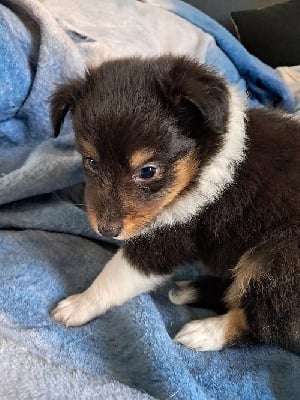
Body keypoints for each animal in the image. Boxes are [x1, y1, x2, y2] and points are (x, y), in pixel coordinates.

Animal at [50, 55, 298, 350]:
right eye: (90, 162)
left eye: (148, 171)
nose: (107, 231)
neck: (205, 160)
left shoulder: (172, 235)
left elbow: (115, 276)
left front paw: (78, 305)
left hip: (278, 257)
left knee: (268, 324)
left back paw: (203, 332)